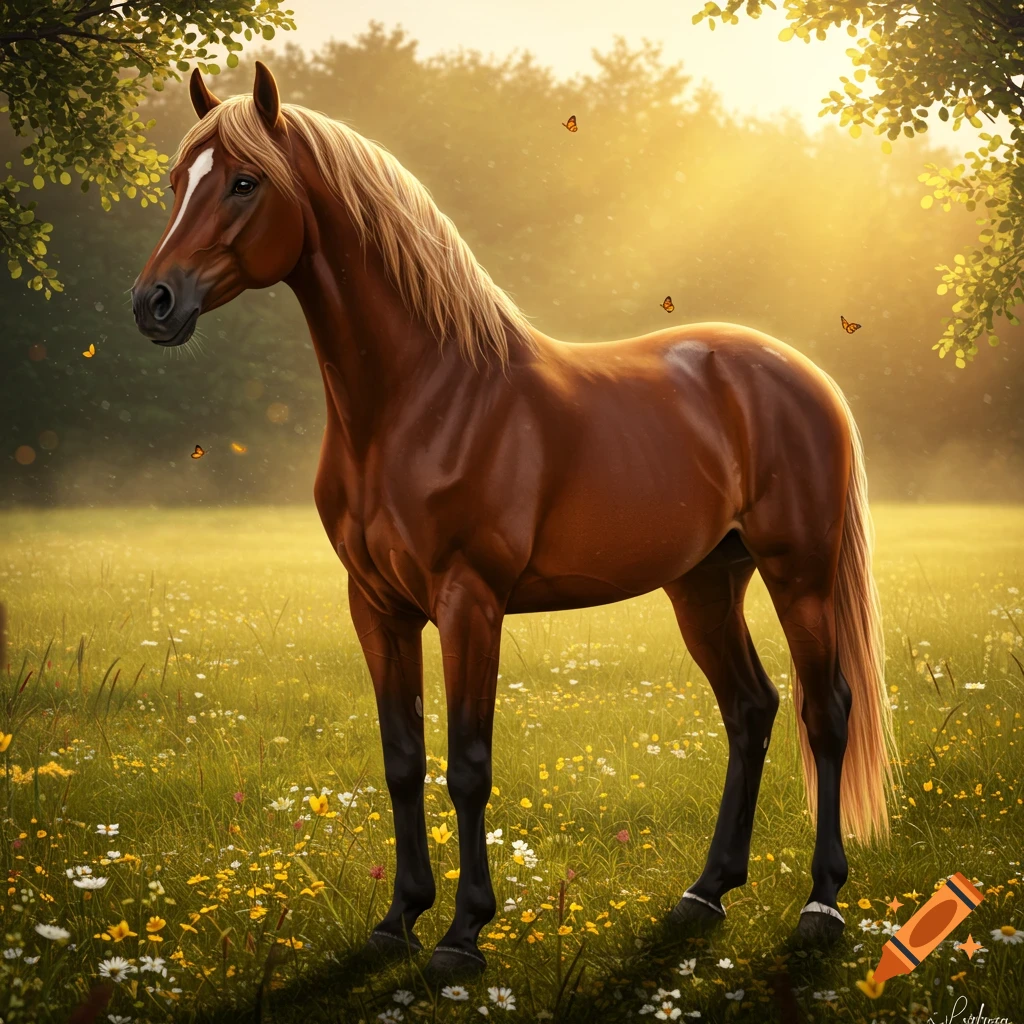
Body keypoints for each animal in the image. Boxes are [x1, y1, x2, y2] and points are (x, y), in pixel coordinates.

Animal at [133, 62, 897, 978]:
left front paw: (463, 935)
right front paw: (399, 918)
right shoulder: (377, 607)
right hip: (705, 585)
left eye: (245, 182)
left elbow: (467, 765)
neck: (422, 399)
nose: (153, 302)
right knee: (750, 710)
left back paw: (822, 905)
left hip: (800, 574)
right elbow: (401, 759)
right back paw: (703, 894)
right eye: (178, 181)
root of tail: (803, 373)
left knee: (827, 713)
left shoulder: (471, 601)